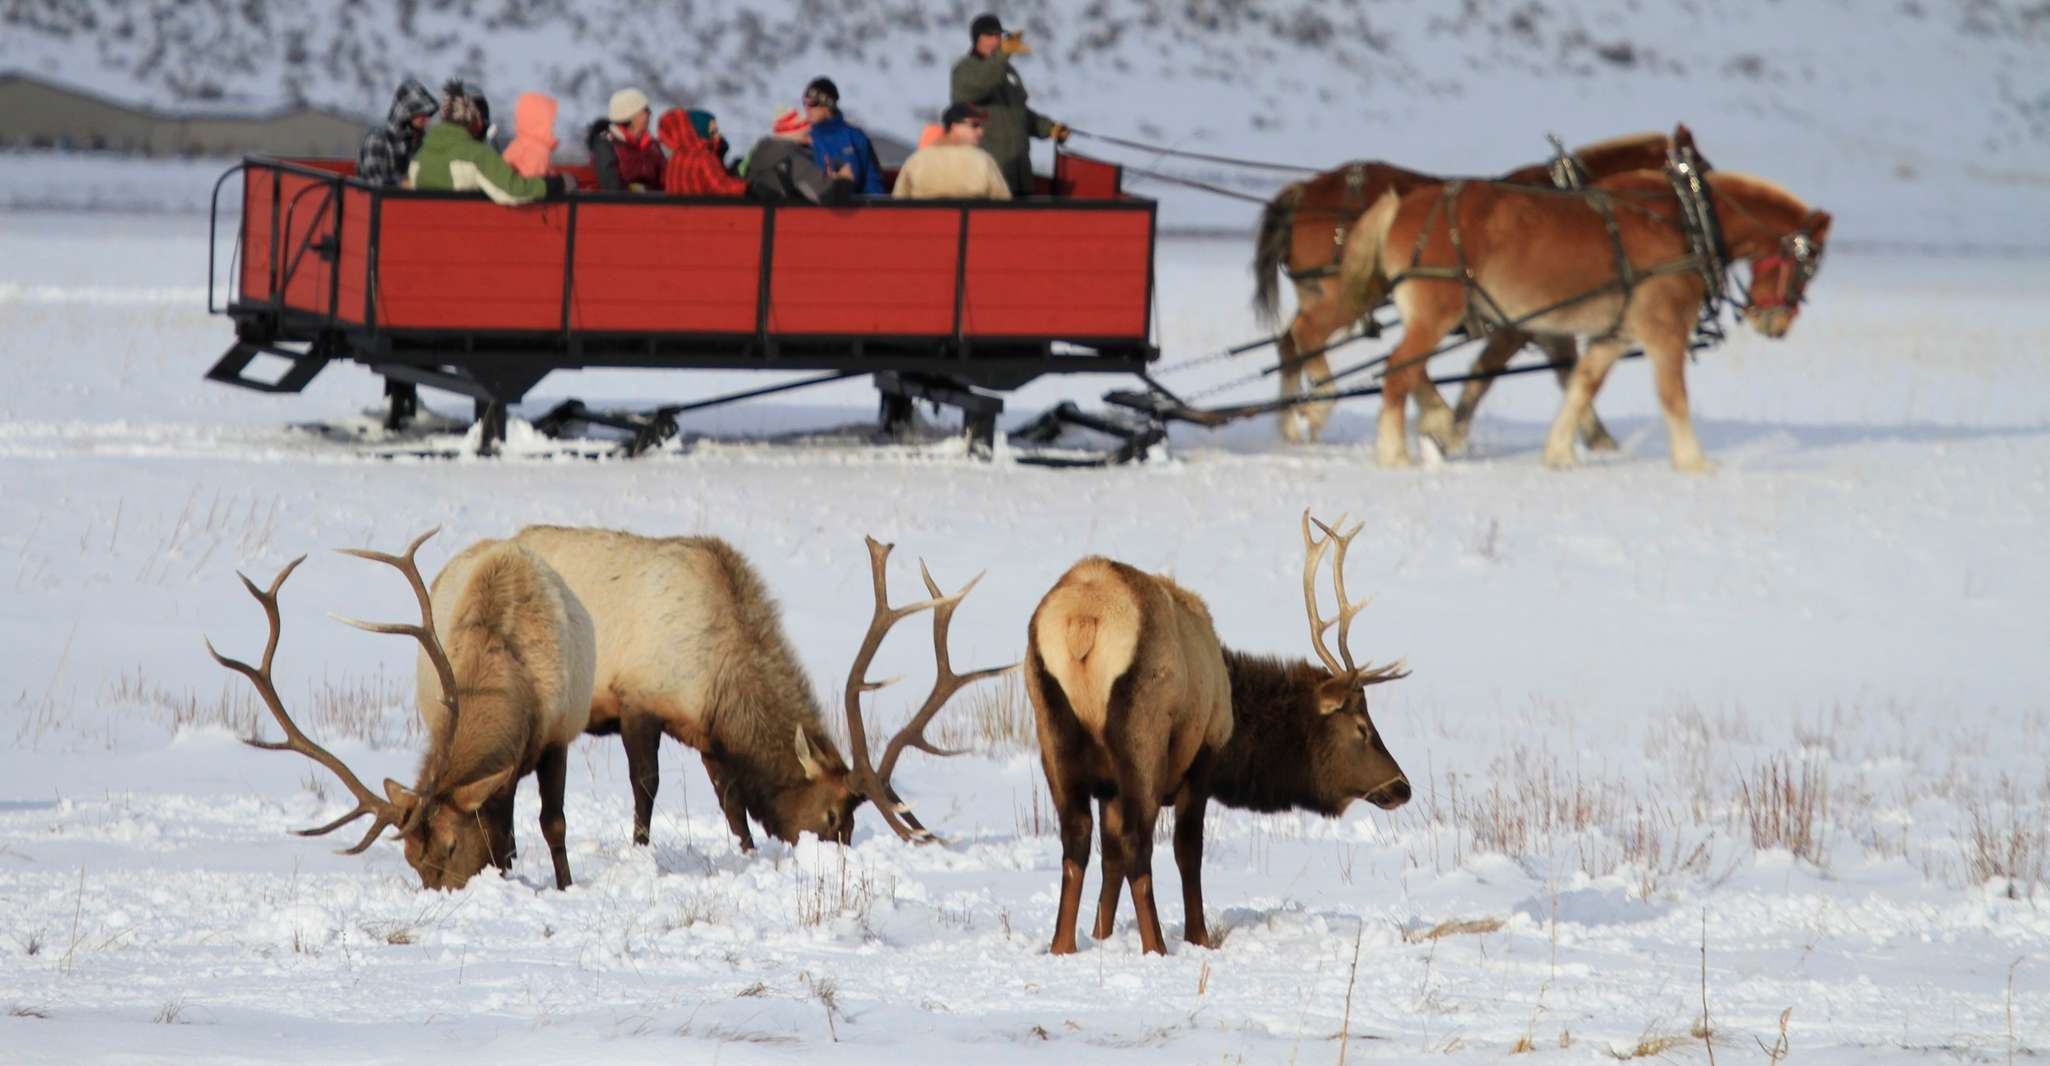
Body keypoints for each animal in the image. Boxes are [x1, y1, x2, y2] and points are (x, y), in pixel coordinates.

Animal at [206, 529, 597, 890]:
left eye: (453, 845)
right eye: (411, 858)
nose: (443, 897)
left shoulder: (558, 734)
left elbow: (553, 824)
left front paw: (565, 885)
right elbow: (503, 834)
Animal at [510, 525, 1007, 851]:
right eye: (831, 815)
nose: (835, 854)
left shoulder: (709, 737)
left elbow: (732, 804)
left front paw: (748, 851)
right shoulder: (638, 700)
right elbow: (646, 785)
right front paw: (640, 848)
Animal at [1025, 512, 1412, 955]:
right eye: (1362, 727)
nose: (1402, 787)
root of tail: (1083, 623)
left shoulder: (1109, 787)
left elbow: (1110, 859)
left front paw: (1101, 934)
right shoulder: (1203, 757)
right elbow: (1186, 851)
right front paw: (1200, 938)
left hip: (1051, 727)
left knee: (1076, 839)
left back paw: (1062, 946)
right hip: (1143, 736)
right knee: (1139, 843)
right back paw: (1156, 947)